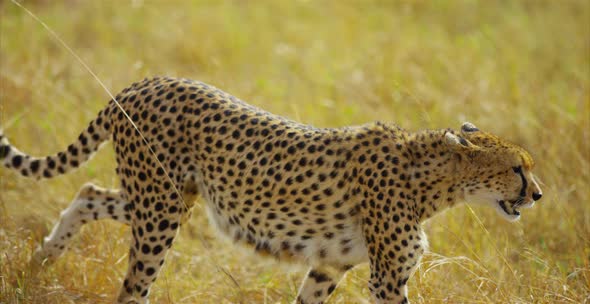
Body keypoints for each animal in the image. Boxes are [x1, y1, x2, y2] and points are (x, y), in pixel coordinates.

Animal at [1, 76, 544, 304]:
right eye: (518, 169)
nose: (537, 195)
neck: (433, 182)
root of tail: (142, 83)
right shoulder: (387, 278)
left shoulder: (329, 265)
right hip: (160, 209)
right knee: (134, 285)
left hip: (165, 197)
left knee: (88, 191)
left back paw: (44, 258)